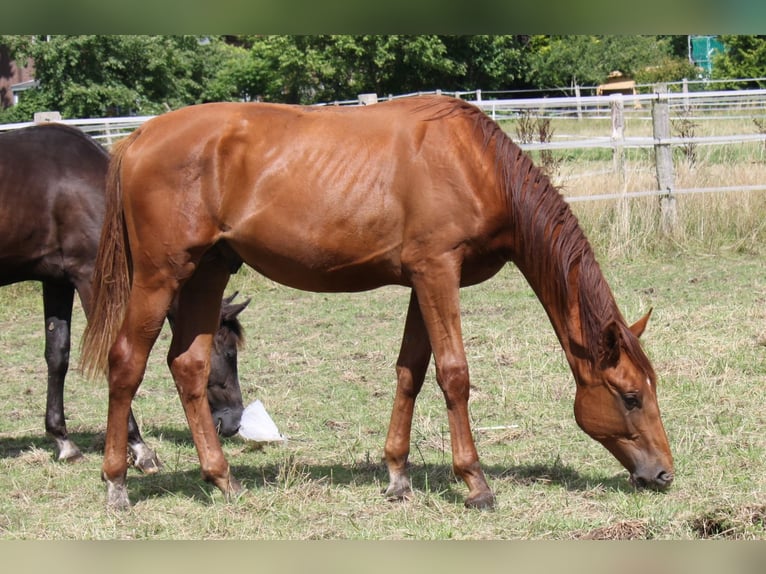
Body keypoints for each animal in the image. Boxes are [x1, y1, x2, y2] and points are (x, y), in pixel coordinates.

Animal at [0, 124, 250, 470]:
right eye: (228, 353)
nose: (235, 422)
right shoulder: (89, 276)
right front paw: (139, 447)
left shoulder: (56, 280)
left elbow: (57, 354)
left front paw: (63, 440)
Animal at [81, 95, 676, 512]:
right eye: (629, 396)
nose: (664, 472)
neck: (474, 162)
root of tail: (139, 138)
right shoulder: (438, 272)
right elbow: (454, 374)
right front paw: (475, 482)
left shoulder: (422, 281)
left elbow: (411, 372)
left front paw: (397, 477)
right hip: (160, 277)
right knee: (126, 363)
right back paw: (117, 482)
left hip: (208, 272)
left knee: (189, 366)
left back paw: (221, 478)